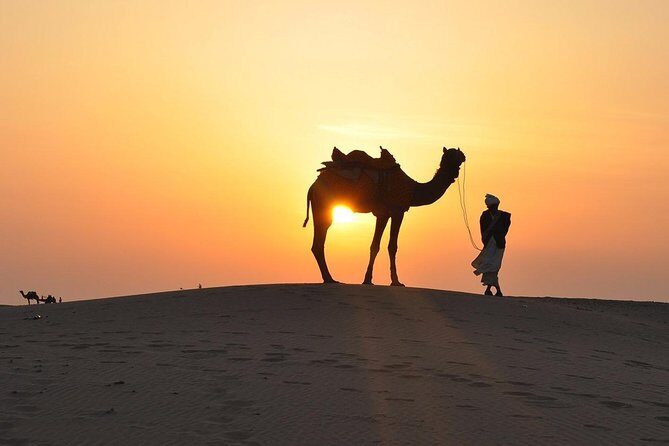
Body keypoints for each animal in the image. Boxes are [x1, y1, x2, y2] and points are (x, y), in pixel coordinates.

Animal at [303, 147, 466, 285]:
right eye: (450, 156)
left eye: (459, 155)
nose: (463, 157)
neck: (413, 190)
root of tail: (313, 186)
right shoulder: (398, 210)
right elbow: (392, 246)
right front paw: (396, 282)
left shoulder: (383, 214)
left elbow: (375, 246)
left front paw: (368, 280)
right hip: (324, 205)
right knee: (319, 241)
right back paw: (329, 279)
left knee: (318, 243)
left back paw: (329, 278)